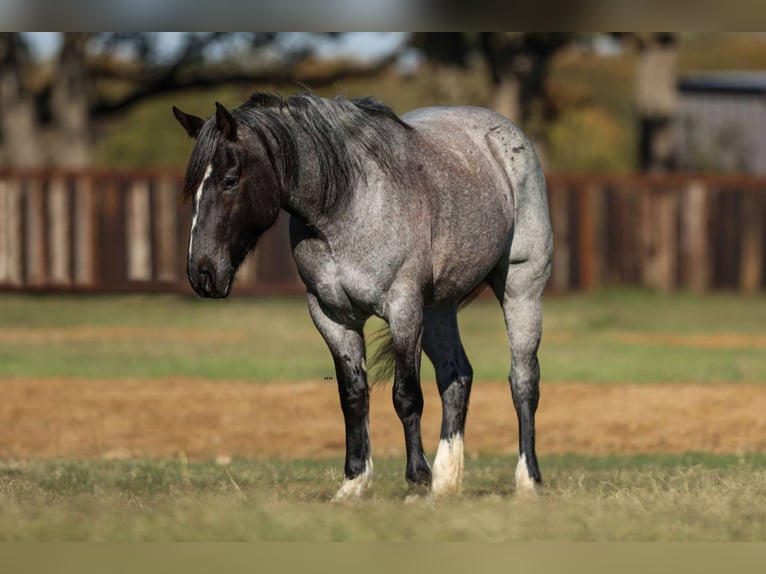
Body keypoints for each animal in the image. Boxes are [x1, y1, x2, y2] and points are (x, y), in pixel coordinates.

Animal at [172, 92, 553, 500]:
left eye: (229, 180)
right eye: (193, 188)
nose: (202, 273)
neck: (346, 205)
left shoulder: (403, 309)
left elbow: (406, 395)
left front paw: (416, 478)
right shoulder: (333, 317)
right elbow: (353, 396)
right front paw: (354, 482)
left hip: (520, 290)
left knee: (523, 381)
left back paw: (527, 480)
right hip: (439, 308)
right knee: (456, 377)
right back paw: (445, 482)